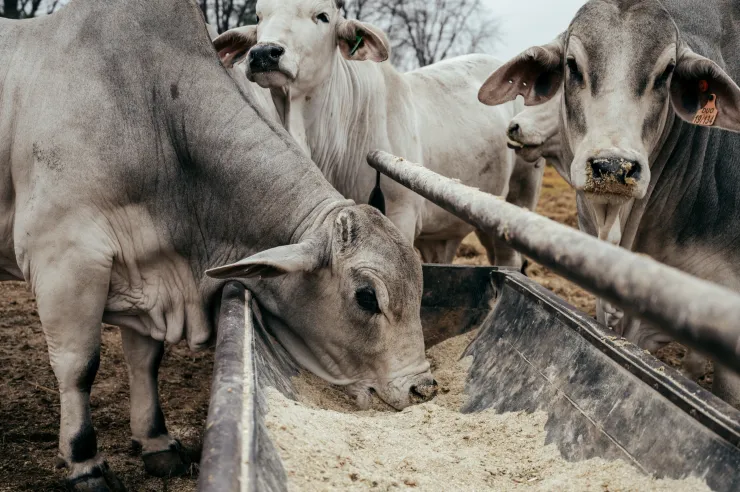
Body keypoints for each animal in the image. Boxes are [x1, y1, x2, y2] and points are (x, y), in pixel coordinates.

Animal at [0, 1, 436, 489]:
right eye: (366, 297)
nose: (423, 387)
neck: (152, 114)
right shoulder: (64, 258)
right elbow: (78, 366)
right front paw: (84, 462)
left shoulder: (145, 267)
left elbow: (144, 360)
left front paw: (157, 442)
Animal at [211, 0, 545, 267]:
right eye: (259, 16)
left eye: (322, 16)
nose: (264, 53)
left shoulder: (400, 215)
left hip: (519, 197)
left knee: (508, 258)